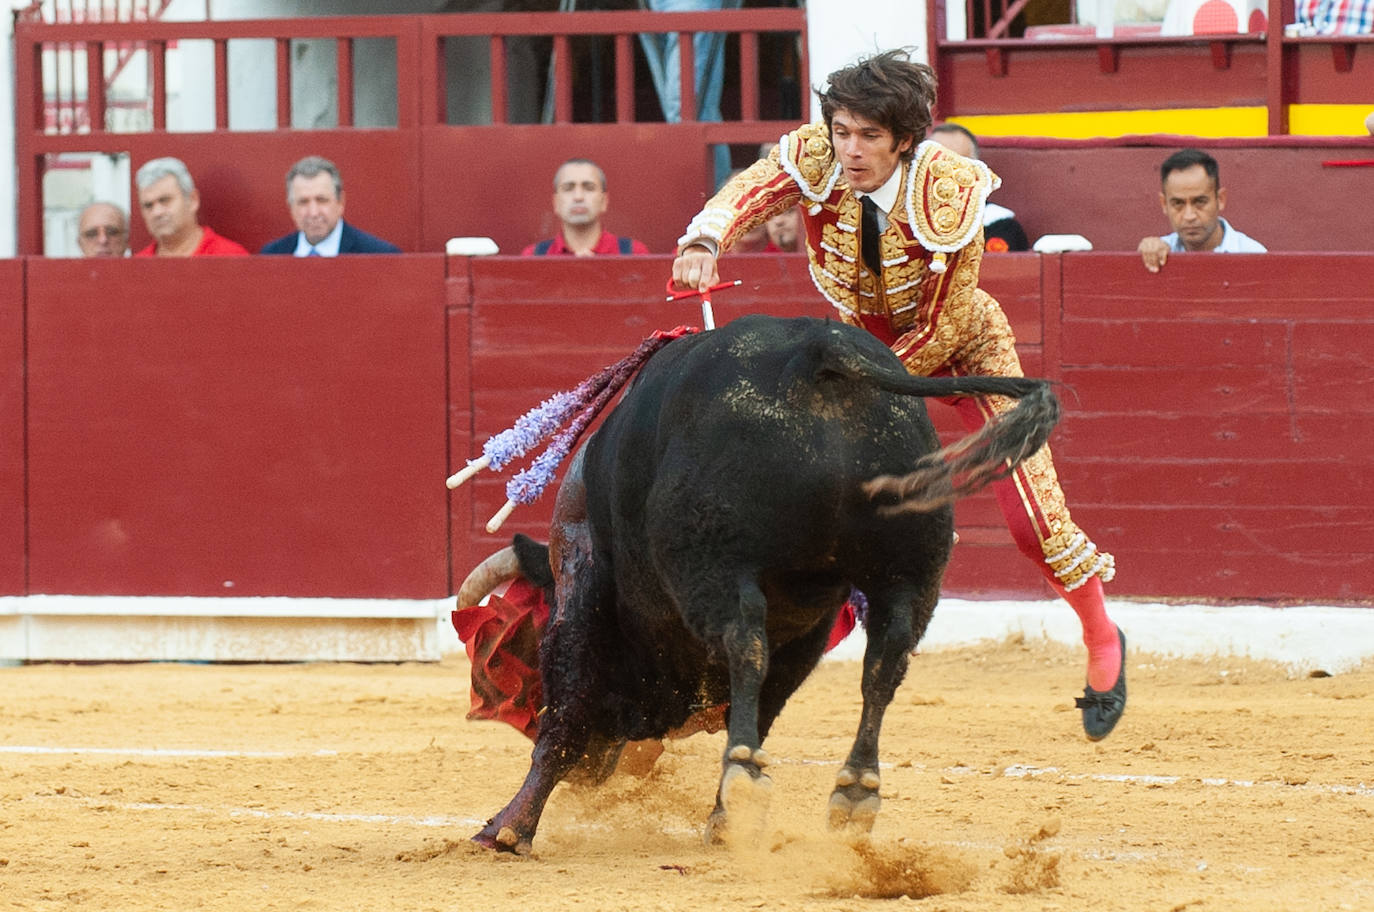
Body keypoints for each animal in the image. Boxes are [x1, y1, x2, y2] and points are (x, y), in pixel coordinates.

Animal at [475, 313, 1060, 857]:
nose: (593, 773)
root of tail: (821, 352)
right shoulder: (809, 622)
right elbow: (765, 700)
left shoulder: (583, 577)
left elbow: (568, 708)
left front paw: (507, 828)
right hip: (908, 568)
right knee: (884, 659)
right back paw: (852, 793)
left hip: (715, 562)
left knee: (746, 642)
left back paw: (752, 779)